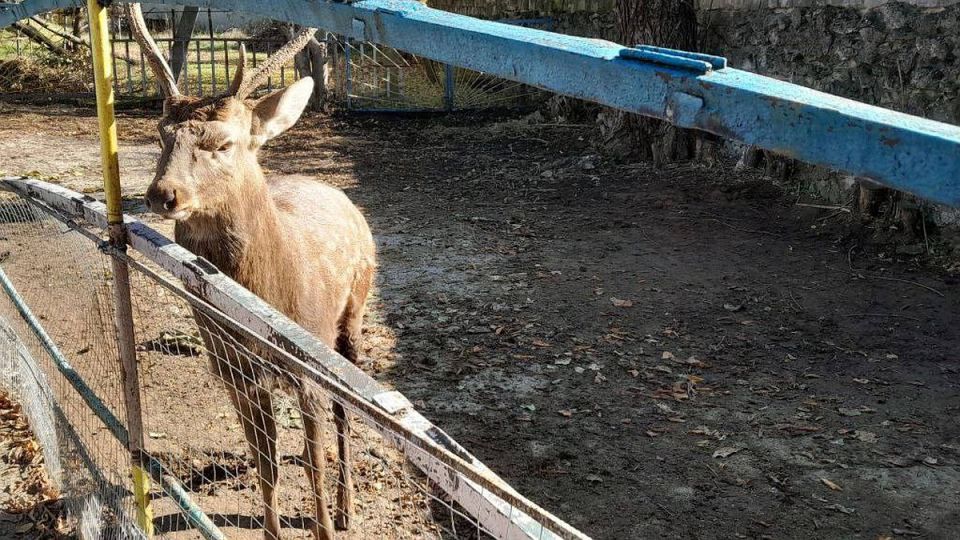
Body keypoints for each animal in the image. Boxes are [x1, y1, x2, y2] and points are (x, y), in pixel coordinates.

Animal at [125, 5, 375, 540]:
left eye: (224, 143)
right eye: (161, 134)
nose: (164, 194)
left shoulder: (308, 369)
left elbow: (313, 462)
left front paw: (325, 526)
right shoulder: (235, 377)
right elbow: (267, 465)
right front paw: (272, 529)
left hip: (354, 311)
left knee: (346, 413)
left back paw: (347, 508)